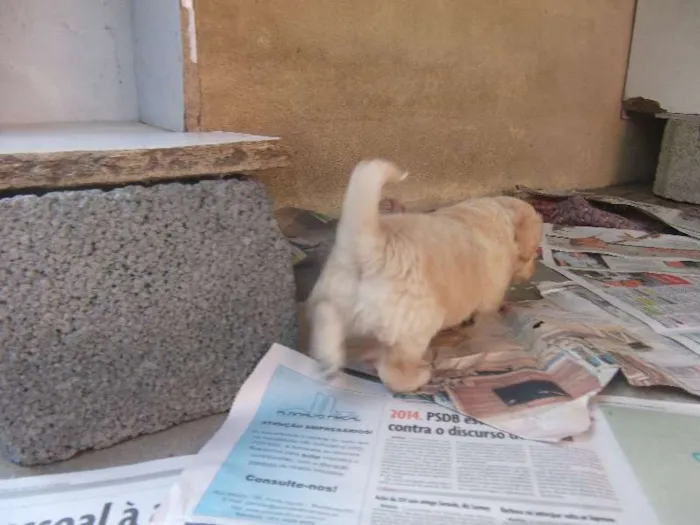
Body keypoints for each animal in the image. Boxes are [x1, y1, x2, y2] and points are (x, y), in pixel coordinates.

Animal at [308, 160, 544, 392]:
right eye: (534, 253)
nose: (532, 272)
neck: (496, 215)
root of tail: (371, 248)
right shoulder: (490, 298)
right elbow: (485, 316)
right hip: (415, 328)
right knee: (395, 370)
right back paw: (420, 375)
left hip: (332, 298)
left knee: (326, 323)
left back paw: (331, 369)